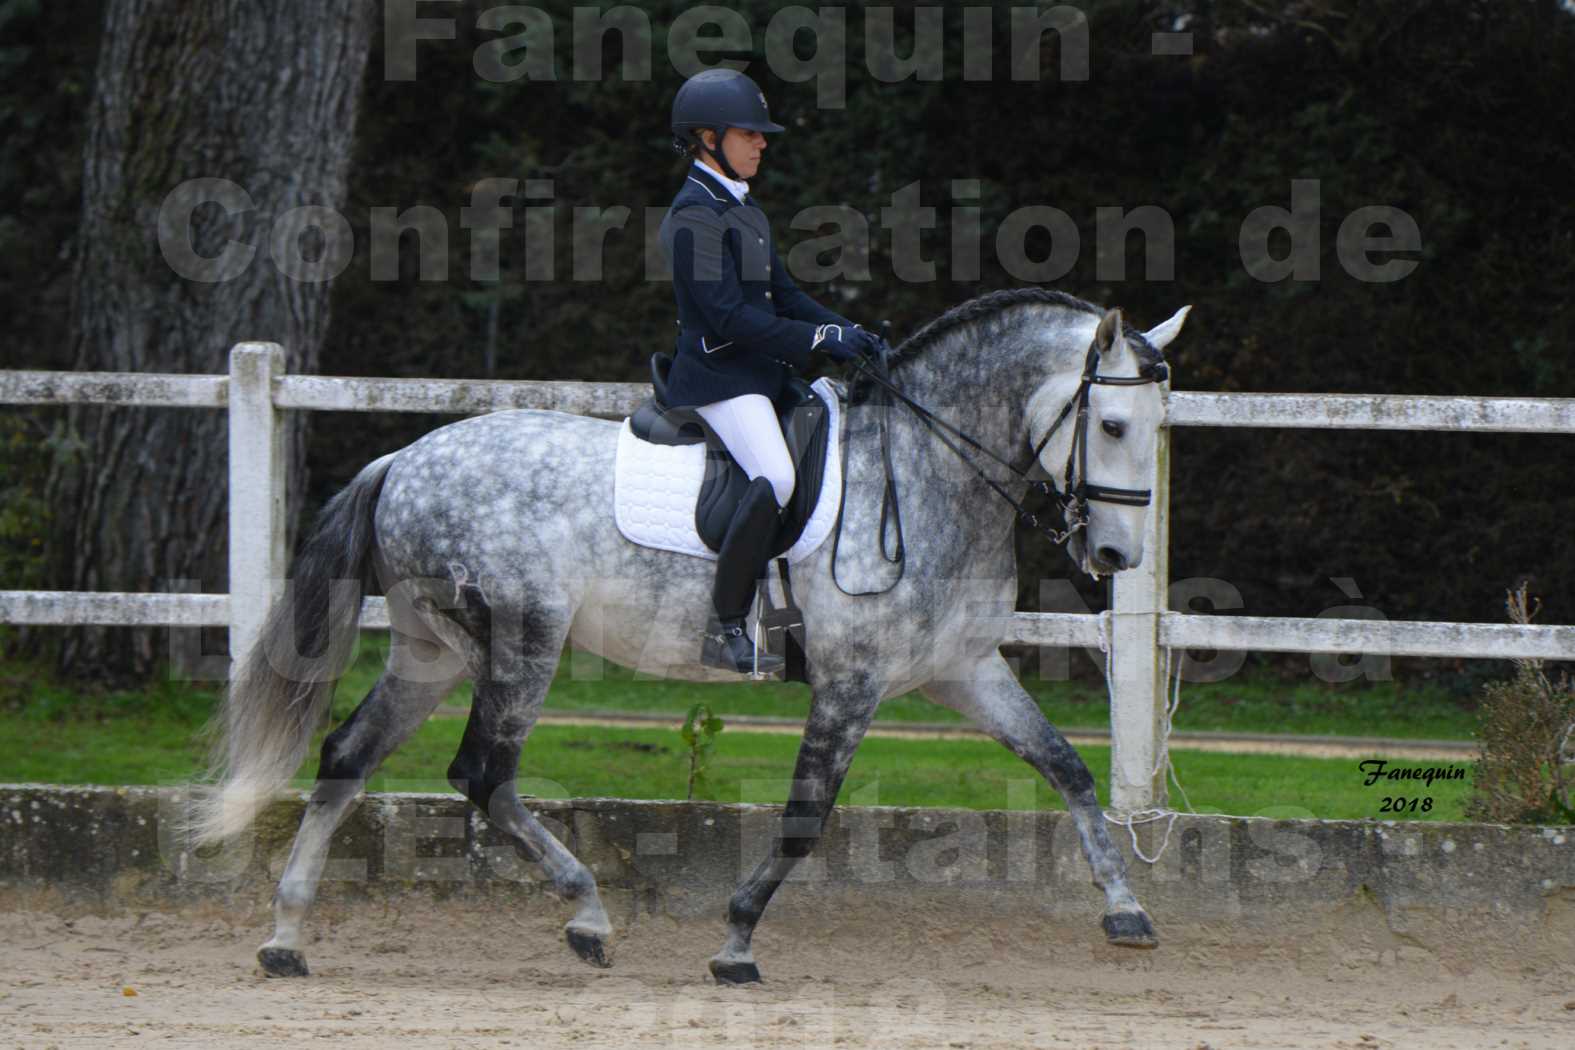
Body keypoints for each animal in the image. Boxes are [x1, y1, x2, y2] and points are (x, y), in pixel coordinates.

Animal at [190, 283, 1184, 982]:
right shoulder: (851, 681)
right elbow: (804, 817)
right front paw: (736, 942)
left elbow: (1066, 767)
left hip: (431, 652)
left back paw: (286, 935)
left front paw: (1127, 912)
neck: (926, 468)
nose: (1112, 555)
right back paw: (587, 916)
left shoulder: (963, 669)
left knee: (348, 756)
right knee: (483, 775)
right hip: (522, 641)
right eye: (1111, 423)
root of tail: (403, 459)